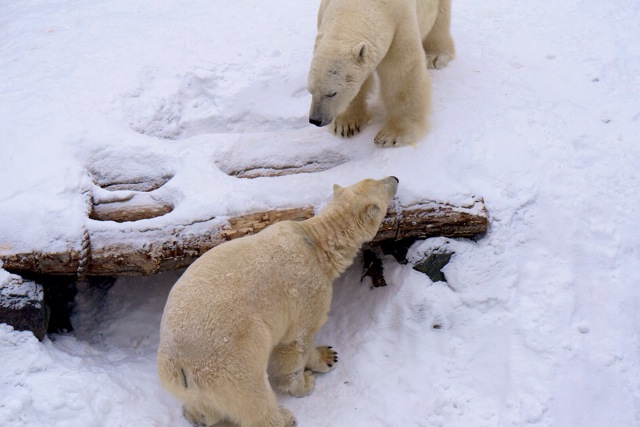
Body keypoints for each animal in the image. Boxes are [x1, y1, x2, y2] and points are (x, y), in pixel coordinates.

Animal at [158, 176, 398, 426]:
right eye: (383, 186)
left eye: (373, 179)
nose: (396, 178)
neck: (316, 243)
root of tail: (174, 361)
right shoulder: (309, 292)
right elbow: (296, 343)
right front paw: (307, 379)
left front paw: (328, 354)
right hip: (228, 356)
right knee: (252, 394)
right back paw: (283, 418)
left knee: (206, 403)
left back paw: (198, 416)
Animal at [308, 0, 456, 147]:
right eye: (311, 91)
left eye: (332, 93)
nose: (315, 120)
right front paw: (345, 125)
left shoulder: (400, 24)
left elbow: (402, 74)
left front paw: (392, 136)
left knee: (439, 20)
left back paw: (435, 56)